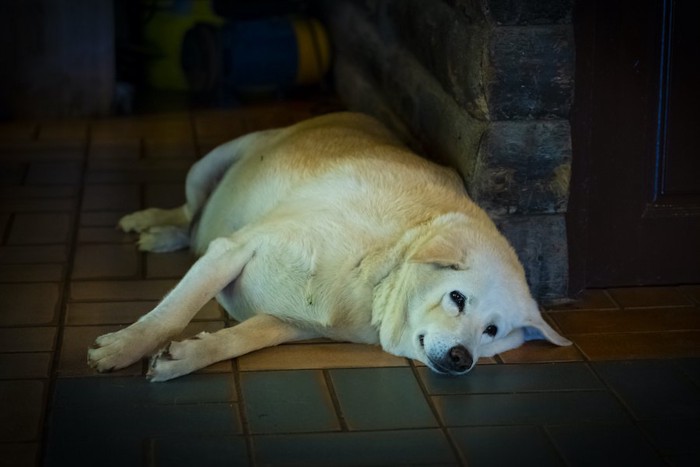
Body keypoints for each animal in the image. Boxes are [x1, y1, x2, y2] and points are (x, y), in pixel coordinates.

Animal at [86, 111, 568, 382]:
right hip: (208, 165)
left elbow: (236, 341)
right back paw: (151, 224)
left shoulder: (289, 324)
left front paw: (183, 358)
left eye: (492, 331)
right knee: (189, 215)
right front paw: (123, 348)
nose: (462, 358)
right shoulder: (232, 248)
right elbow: (170, 315)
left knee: (192, 229)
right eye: (457, 298)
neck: (378, 271)